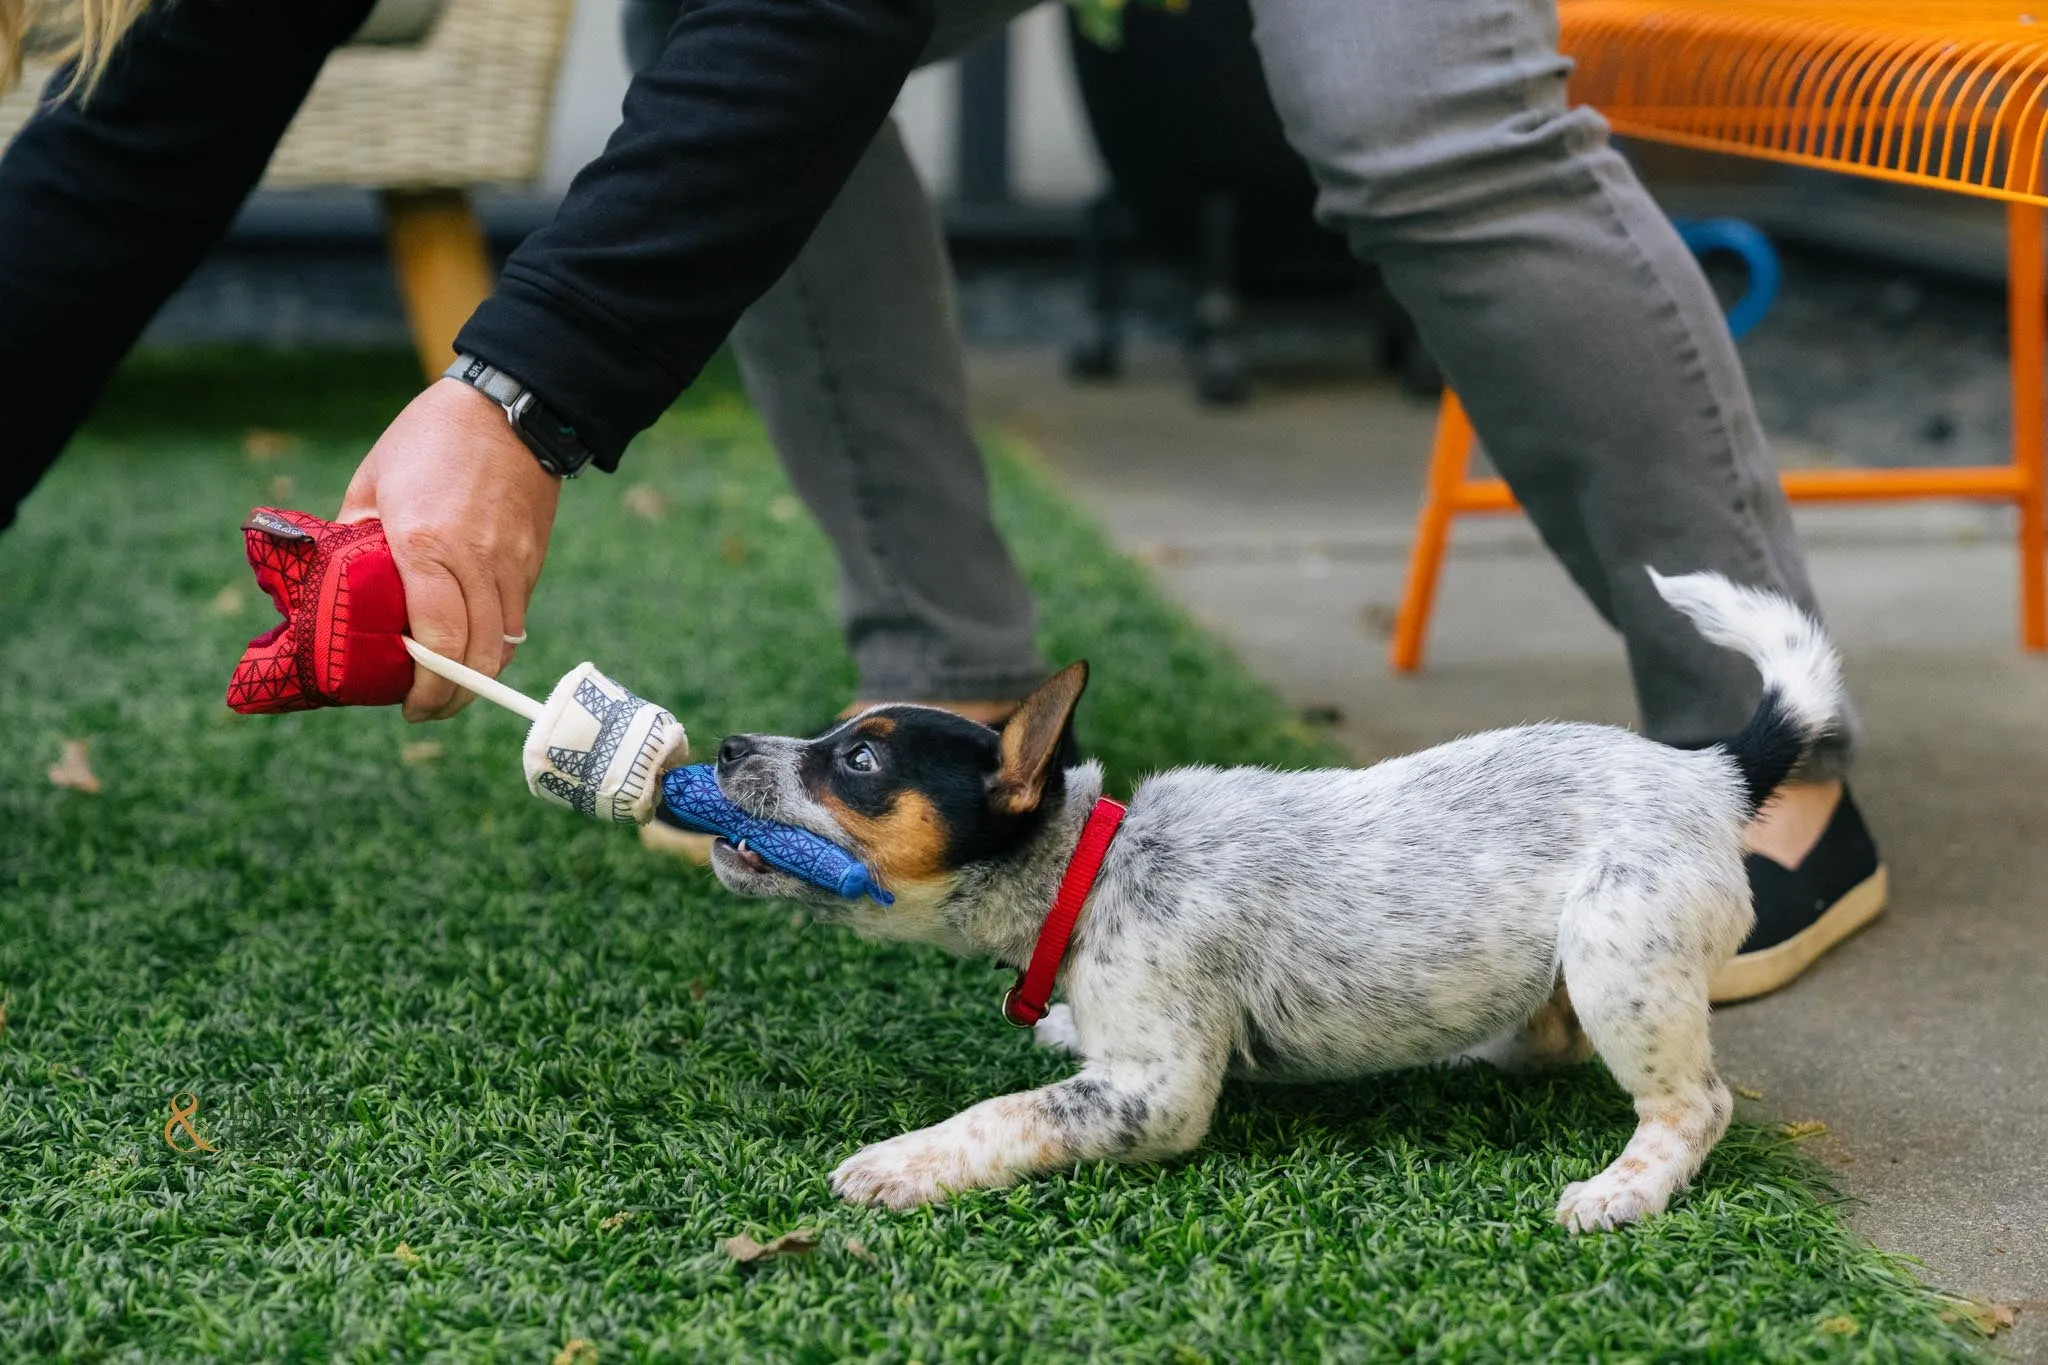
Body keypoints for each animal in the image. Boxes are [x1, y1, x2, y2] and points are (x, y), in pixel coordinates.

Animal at [708, 573, 1843, 1236]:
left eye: (858, 762)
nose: (722, 745)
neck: (1094, 868)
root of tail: (1712, 774)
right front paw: (1063, 1027)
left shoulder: (1156, 1094)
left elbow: (1005, 1114)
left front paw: (901, 1162)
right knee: (1549, 1036)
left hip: (1621, 954)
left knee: (1693, 1105)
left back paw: (1625, 1188)